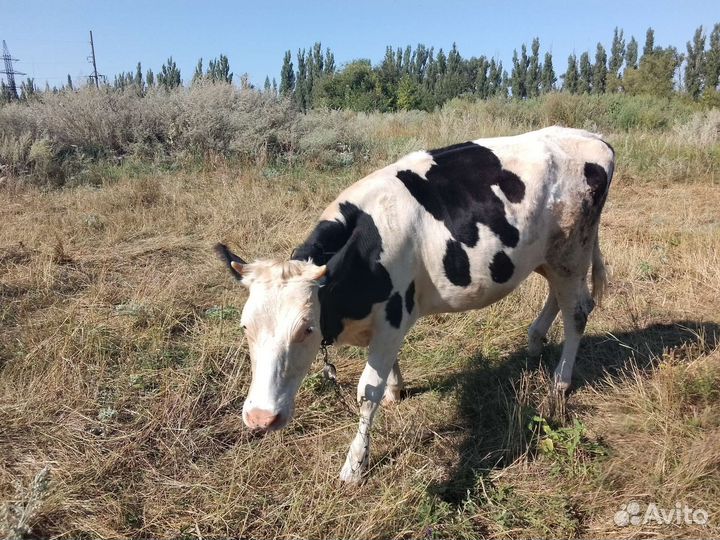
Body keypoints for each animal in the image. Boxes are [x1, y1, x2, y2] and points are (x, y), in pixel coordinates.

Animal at [216, 126, 614, 483]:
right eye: (245, 327)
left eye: (306, 328)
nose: (260, 418)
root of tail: (593, 137)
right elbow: (387, 374)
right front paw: (396, 391)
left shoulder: (394, 316)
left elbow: (367, 392)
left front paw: (354, 466)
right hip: (549, 255)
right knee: (558, 296)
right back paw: (534, 341)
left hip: (572, 250)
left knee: (578, 310)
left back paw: (559, 383)